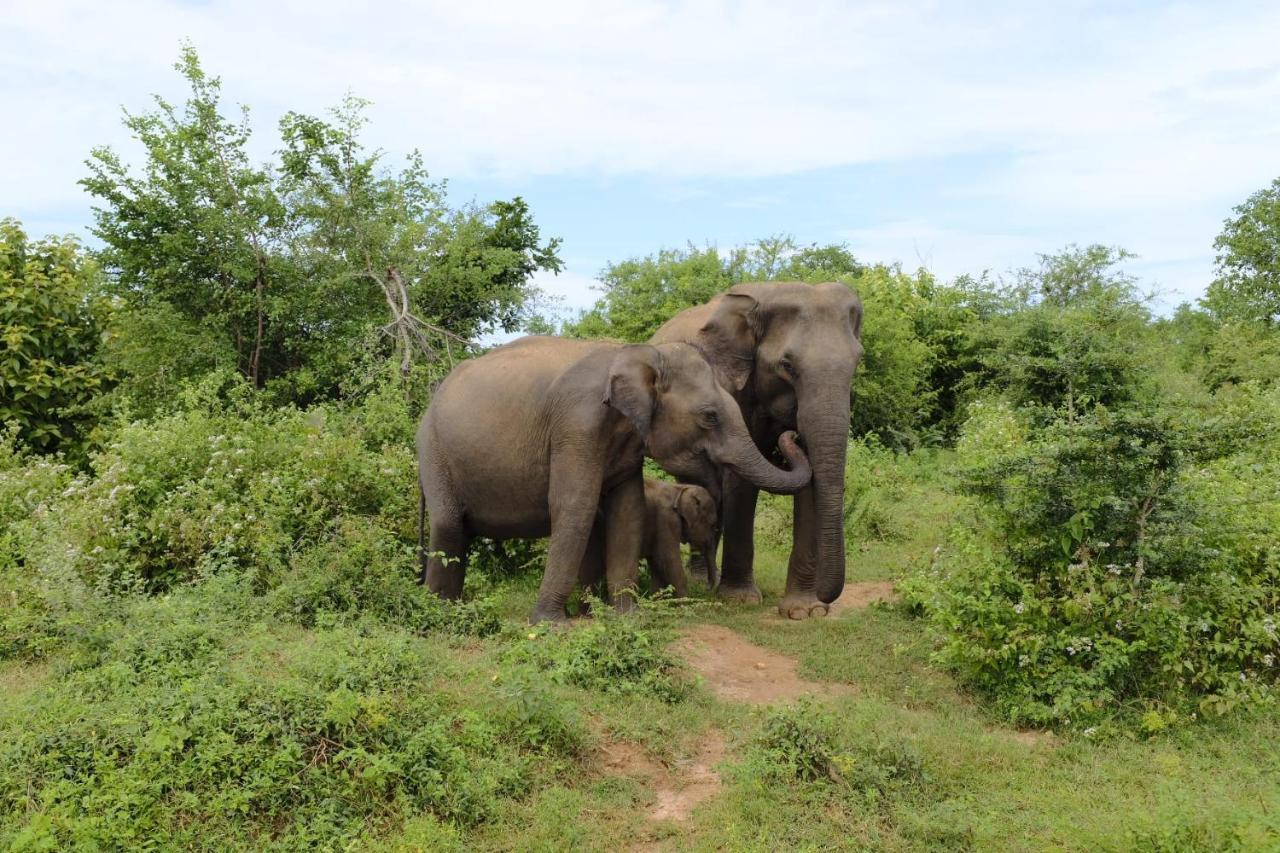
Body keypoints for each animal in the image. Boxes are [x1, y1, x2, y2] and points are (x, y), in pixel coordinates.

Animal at [417, 335, 808, 622]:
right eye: (710, 416)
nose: (792, 434)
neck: (637, 354)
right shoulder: (577, 425)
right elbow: (575, 505)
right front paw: (550, 626)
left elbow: (628, 511)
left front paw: (628, 618)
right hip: (432, 451)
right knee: (448, 525)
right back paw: (438, 613)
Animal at [655, 280, 865, 617]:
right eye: (787, 365)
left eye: (857, 363)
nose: (790, 435)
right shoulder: (732, 387)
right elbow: (741, 481)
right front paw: (739, 600)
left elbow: (811, 482)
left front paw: (805, 612)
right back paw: (702, 580)